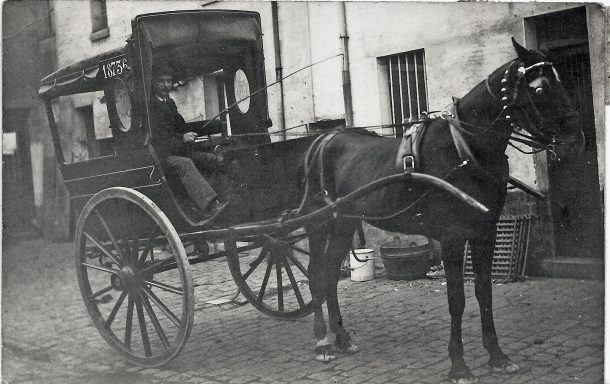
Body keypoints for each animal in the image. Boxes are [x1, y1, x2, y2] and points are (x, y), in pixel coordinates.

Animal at [302, 38, 580, 380]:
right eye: (539, 88)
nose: (575, 140)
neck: (466, 150)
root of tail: (324, 138)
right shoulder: (452, 237)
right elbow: (456, 299)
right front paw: (459, 365)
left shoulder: (485, 232)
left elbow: (484, 292)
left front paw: (497, 355)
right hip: (319, 224)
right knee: (316, 274)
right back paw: (323, 343)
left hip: (343, 223)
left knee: (329, 273)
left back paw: (342, 339)